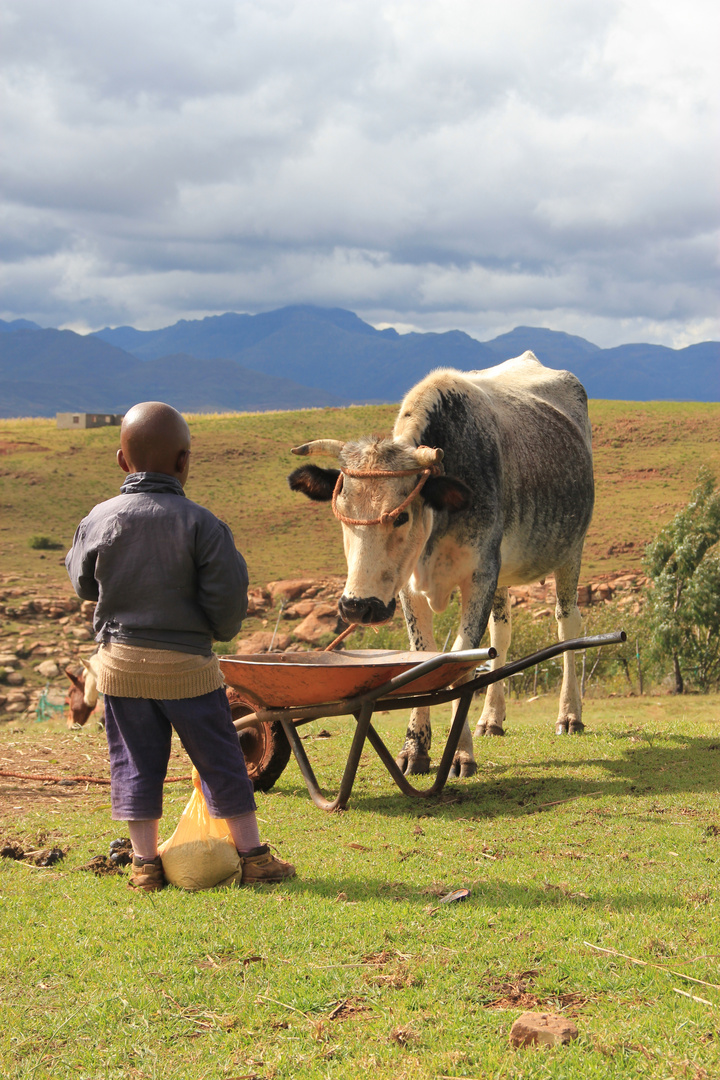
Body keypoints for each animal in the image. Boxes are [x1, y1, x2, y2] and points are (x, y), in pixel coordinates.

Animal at [289, 352, 595, 777]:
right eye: (342, 512)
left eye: (400, 516)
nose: (356, 606)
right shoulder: (408, 587)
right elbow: (428, 657)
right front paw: (415, 749)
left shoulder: (479, 575)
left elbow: (462, 658)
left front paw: (460, 754)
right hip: (503, 574)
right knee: (502, 636)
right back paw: (491, 719)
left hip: (570, 552)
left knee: (568, 624)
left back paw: (570, 715)